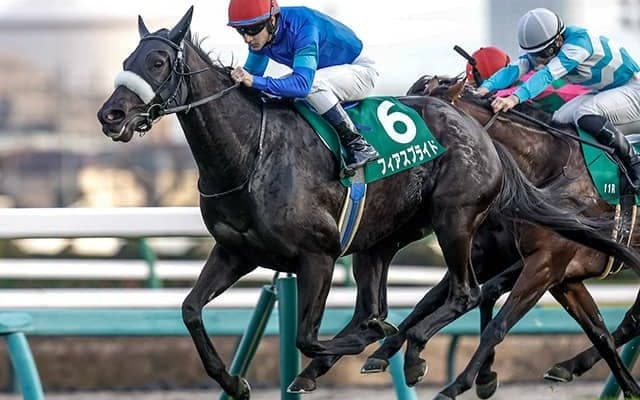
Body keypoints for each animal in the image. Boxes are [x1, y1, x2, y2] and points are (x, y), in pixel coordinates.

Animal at [355, 75, 640, 399]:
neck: (549, 167)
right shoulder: (543, 270)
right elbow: (598, 331)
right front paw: (383, 354)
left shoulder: (545, 264)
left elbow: (497, 326)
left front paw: (458, 383)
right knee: (629, 321)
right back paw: (570, 367)